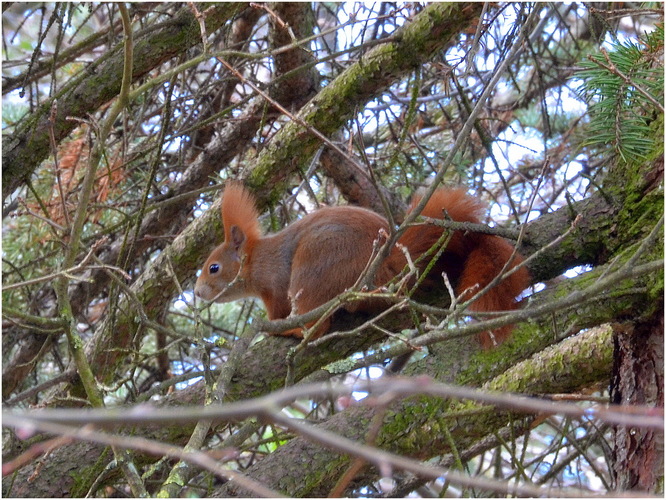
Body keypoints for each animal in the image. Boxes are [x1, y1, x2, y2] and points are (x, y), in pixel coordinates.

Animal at [193, 183, 528, 348]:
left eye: (213, 268)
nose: (196, 292)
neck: (256, 260)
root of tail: (388, 266)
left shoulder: (275, 286)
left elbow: (277, 311)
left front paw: (275, 325)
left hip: (314, 268)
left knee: (317, 328)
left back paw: (294, 332)